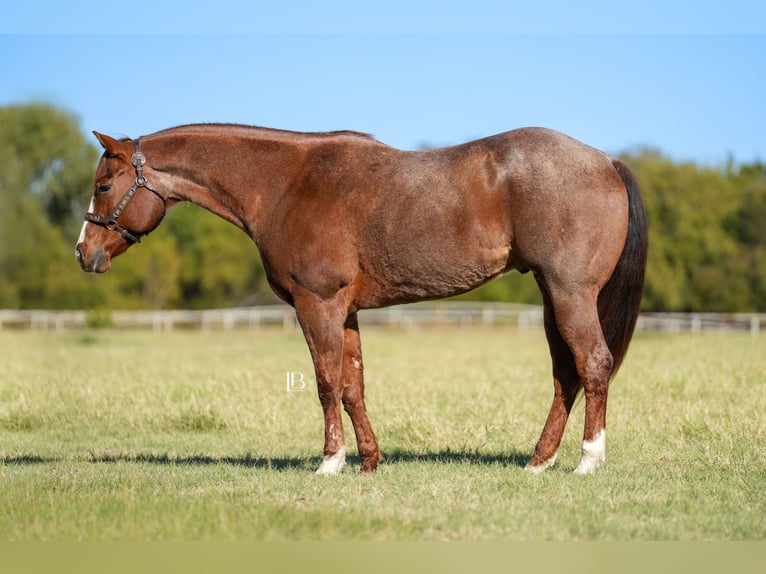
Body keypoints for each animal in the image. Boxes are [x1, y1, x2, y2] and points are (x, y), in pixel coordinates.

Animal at [75, 124, 647, 475]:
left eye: (104, 185)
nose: (84, 252)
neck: (286, 186)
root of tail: (606, 161)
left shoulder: (318, 304)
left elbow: (327, 383)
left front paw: (330, 462)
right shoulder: (345, 312)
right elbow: (353, 386)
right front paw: (369, 461)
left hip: (570, 293)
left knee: (593, 364)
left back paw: (587, 460)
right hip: (553, 296)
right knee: (566, 375)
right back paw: (539, 460)